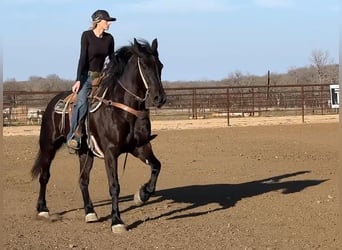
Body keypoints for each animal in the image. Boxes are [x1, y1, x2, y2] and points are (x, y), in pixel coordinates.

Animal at [30, 38, 167, 233]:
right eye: (145, 66)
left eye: (160, 65)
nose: (159, 98)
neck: (123, 108)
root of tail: (52, 102)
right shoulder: (110, 152)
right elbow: (114, 186)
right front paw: (116, 221)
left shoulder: (140, 147)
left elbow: (156, 166)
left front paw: (142, 195)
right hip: (48, 145)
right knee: (44, 176)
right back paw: (43, 209)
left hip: (85, 152)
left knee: (83, 180)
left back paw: (90, 212)